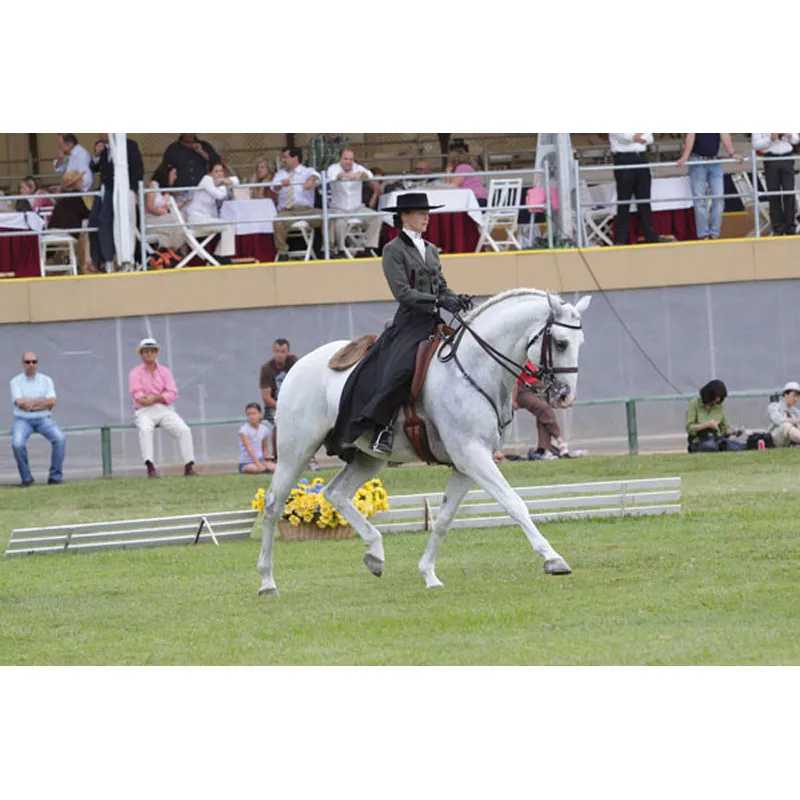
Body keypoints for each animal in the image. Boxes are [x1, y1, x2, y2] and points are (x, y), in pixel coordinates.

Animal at [256, 289, 591, 595]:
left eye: (580, 343)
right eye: (560, 343)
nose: (565, 396)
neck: (475, 369)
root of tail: (298, 365)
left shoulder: (466, 465)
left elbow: (443, 519)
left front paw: (428, 574)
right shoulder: (473, 455)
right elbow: (514, 503)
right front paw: (553, 559)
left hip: (368, 458)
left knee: (335, 493)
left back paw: (375, 554)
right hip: (297, 450)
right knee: (274, 504)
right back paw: (267, 581)